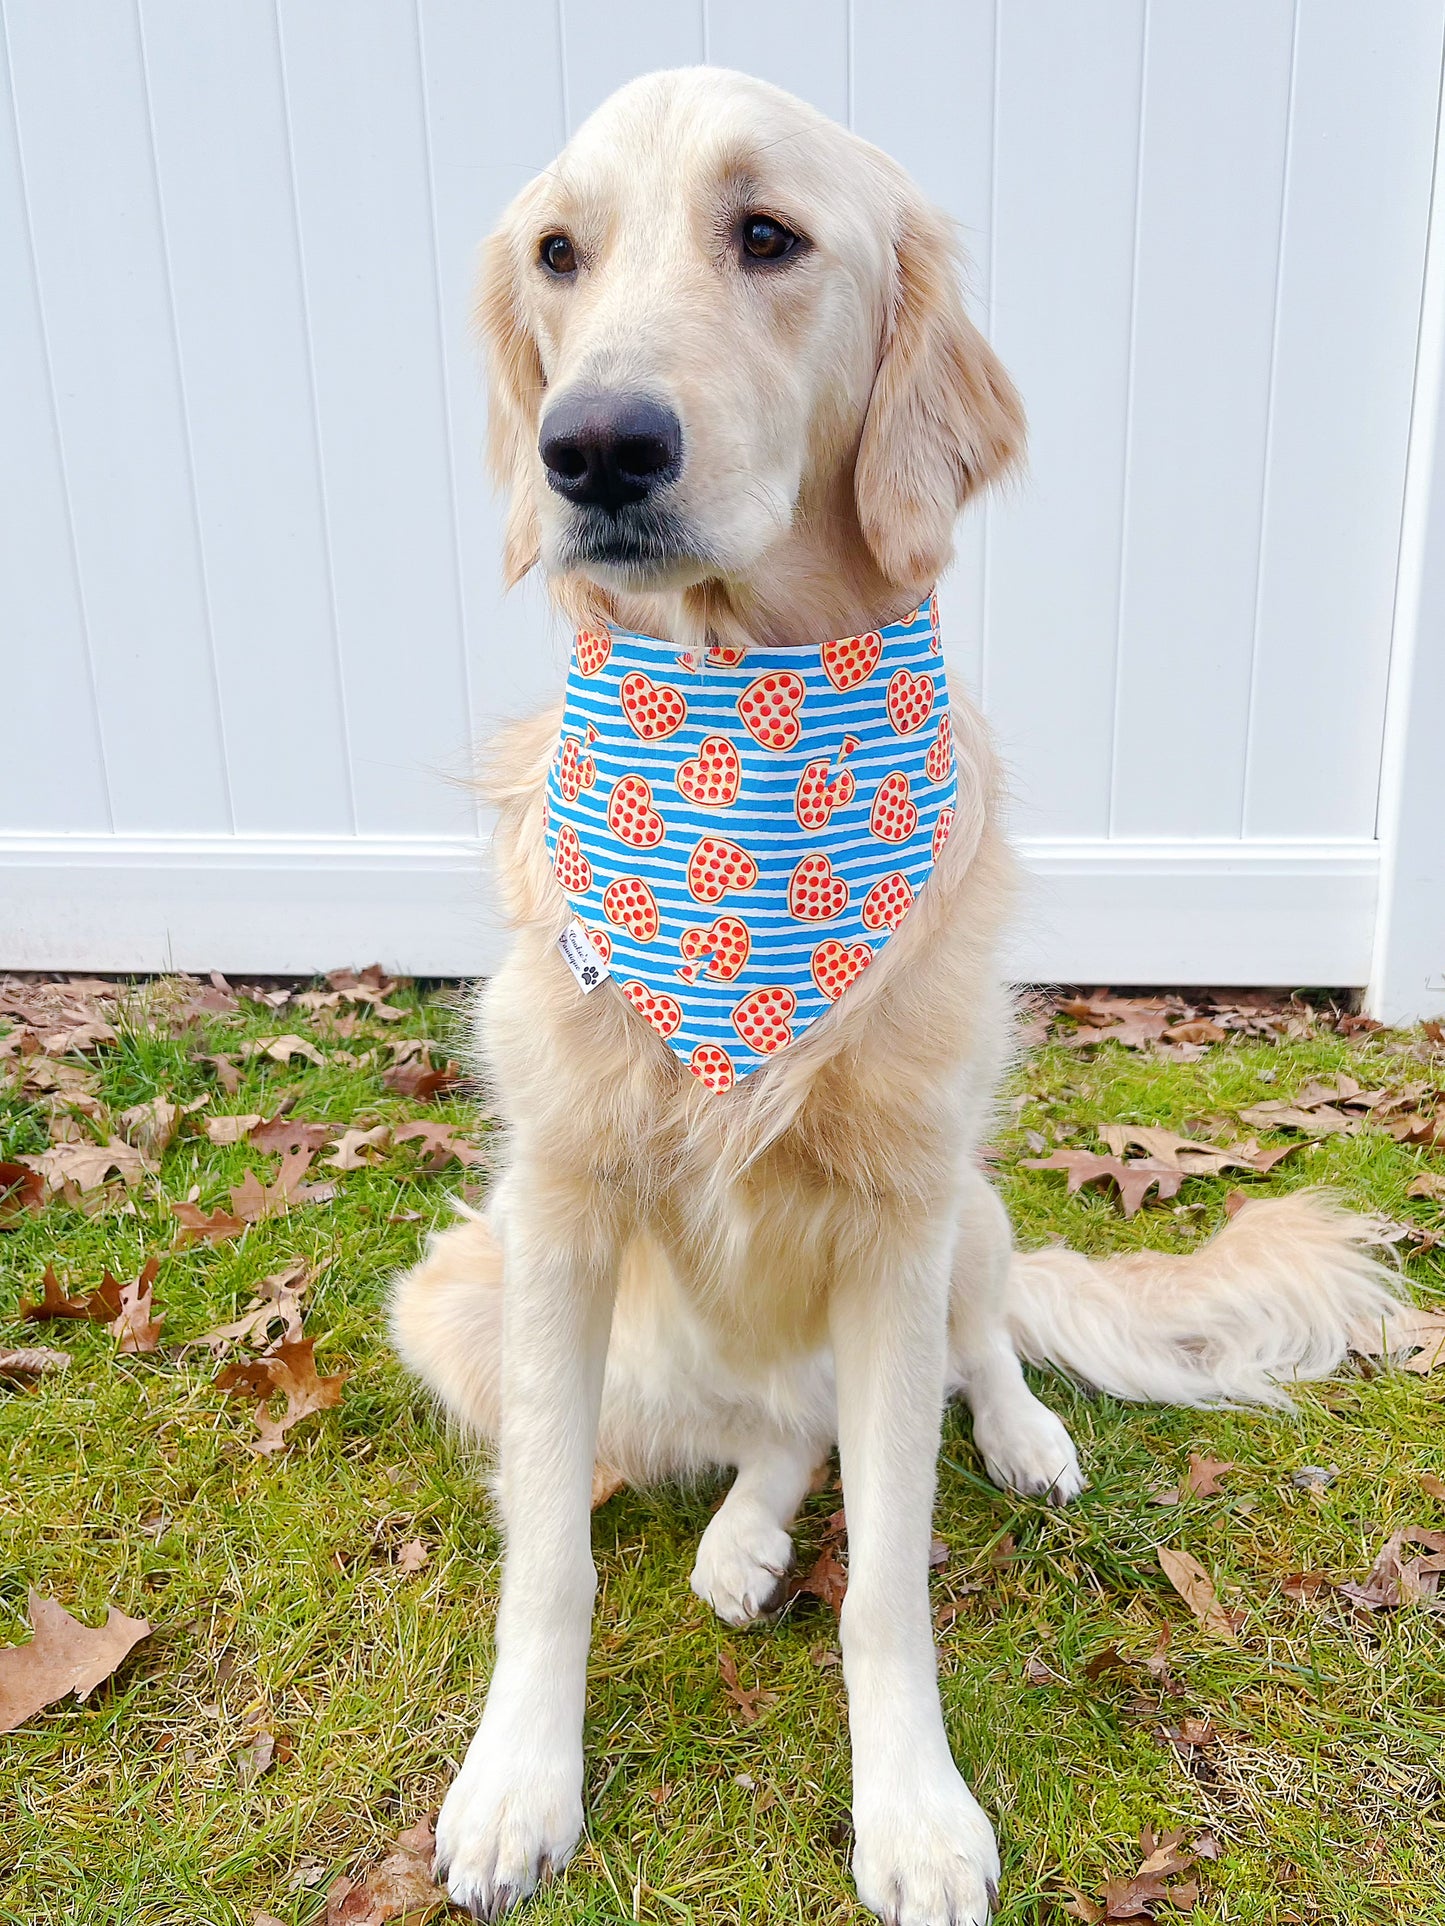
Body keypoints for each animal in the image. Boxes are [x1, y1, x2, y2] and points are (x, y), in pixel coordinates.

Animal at [391, 67, 1410, 1926]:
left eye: (768, 235)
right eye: (561, 253)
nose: (593, 448)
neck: (745, 737)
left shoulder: (895, 1217)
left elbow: (887, 1586)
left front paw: (915, 1816)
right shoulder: (553, 1212)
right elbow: (547, 1559)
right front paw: (518, 1782)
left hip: (968, 1208)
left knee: (960, 1357)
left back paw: (1016, 1439)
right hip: (483, 1306)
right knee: (768, 1439)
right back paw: (736, 1533)